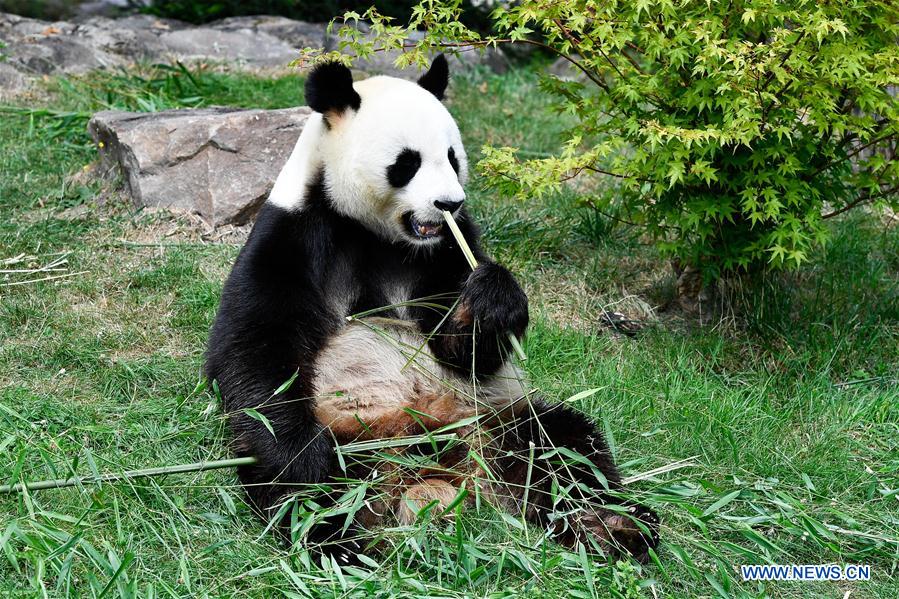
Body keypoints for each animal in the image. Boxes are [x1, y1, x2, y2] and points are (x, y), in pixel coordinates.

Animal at [205, 55, 659, 563]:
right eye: (407, 163)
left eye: (453, 157)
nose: (449, 202)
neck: (377, 233)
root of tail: (434, 480)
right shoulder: (293, 234)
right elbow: (256, 348)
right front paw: (301, 458)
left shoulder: (447, 252)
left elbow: (466, 351)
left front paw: (491, 300)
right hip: (343, 434)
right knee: (301, 493)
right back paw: (342, 543)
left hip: (496, 418)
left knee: (563, 447)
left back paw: (614, 526)